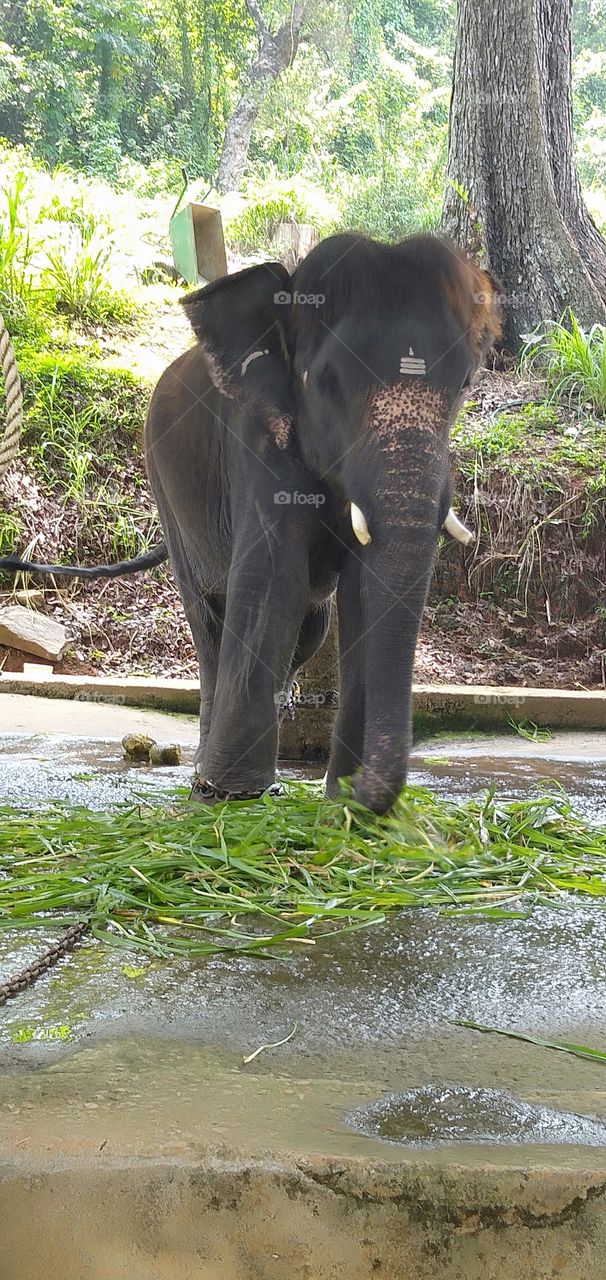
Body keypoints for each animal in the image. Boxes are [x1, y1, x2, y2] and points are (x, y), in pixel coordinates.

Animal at [145, 233, 501, 813]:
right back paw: (203, 775)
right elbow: (273, 578)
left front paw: (343, 802)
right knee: (208, 619)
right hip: (163, 485)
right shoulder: (257, 444)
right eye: (327, 383)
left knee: (312, 628)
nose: (364, 798)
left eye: (466, 383)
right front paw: (230, 795)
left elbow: (360, 591)